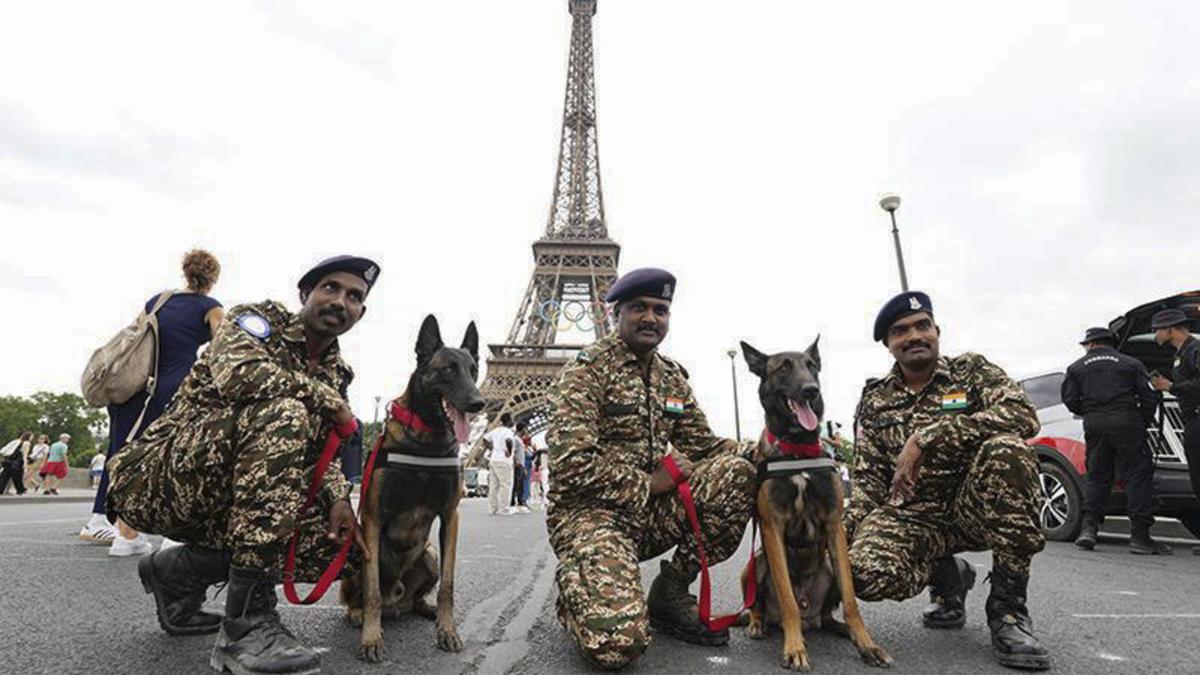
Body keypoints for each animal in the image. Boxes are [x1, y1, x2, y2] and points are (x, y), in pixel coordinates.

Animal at [340, 314, 484, 658]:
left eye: (473, 369)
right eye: (448, 369)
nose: (478, 403)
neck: (427, 440)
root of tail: (397, 603)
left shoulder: (451, 517)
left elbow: (448, 586)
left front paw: (447, 630)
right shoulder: (373, 518)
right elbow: (372, 591)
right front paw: (371, 638)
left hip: (429, 555)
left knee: (416, 599)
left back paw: (426, 609)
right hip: (356, 550)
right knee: (362, 596)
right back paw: (358, 614)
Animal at [734, 338, 888, 667]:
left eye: (812, 366)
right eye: (783, 368)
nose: (810, 390)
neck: (797, 450)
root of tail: (810, 618)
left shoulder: (833, 525)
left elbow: (851, 600)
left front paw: (866, 643)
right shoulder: (772, 528)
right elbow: (788, 600)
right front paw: (794, 649)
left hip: (828, 565)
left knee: (828, 617)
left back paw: (842, 630)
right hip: (755, 563)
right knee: (760, 606)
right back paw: (758, 624)